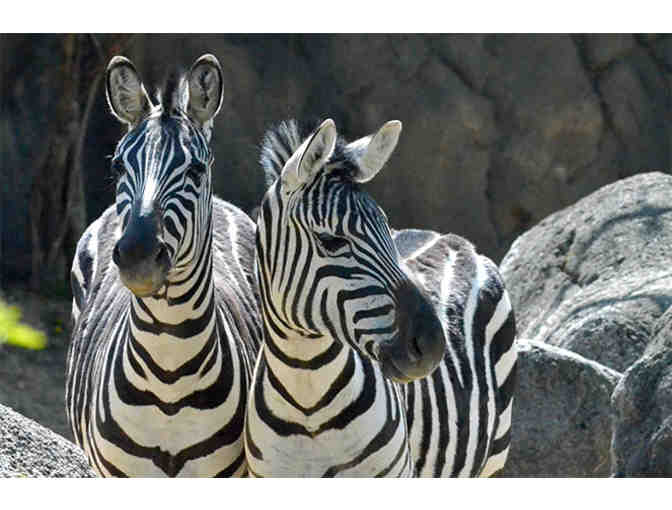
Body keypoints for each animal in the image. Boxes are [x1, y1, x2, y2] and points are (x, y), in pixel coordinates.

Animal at [244, 117, 516, 476]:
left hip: (494, 456)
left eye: (386, 229)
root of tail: (448, 237)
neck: (309, 398)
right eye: (331, 241)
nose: (433, 344)